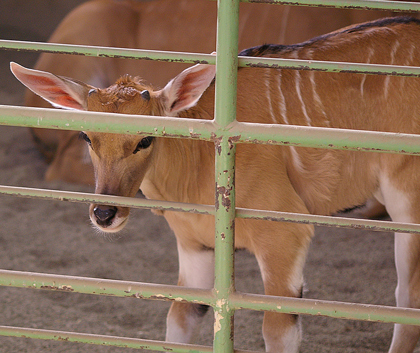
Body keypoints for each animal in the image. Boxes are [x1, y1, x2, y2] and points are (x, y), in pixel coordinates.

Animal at [9, 16, 420, 352]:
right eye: (86, 136)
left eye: (146, 139)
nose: (105, 213)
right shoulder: (196, 245)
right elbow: (180, 317)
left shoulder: (285, 236)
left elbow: (277, 329)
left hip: (406, 202)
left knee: (407, 298)